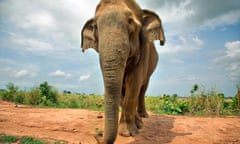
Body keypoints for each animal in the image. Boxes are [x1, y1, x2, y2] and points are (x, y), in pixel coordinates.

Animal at [80, 0, 165, 143]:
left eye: (130, 21)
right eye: (95, 27)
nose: (98, 133)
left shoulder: (143, 50)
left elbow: (134, 82)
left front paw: (127, 133)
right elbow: (120, 88)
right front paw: (130, 129)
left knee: (142, 88)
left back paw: (143, 118)